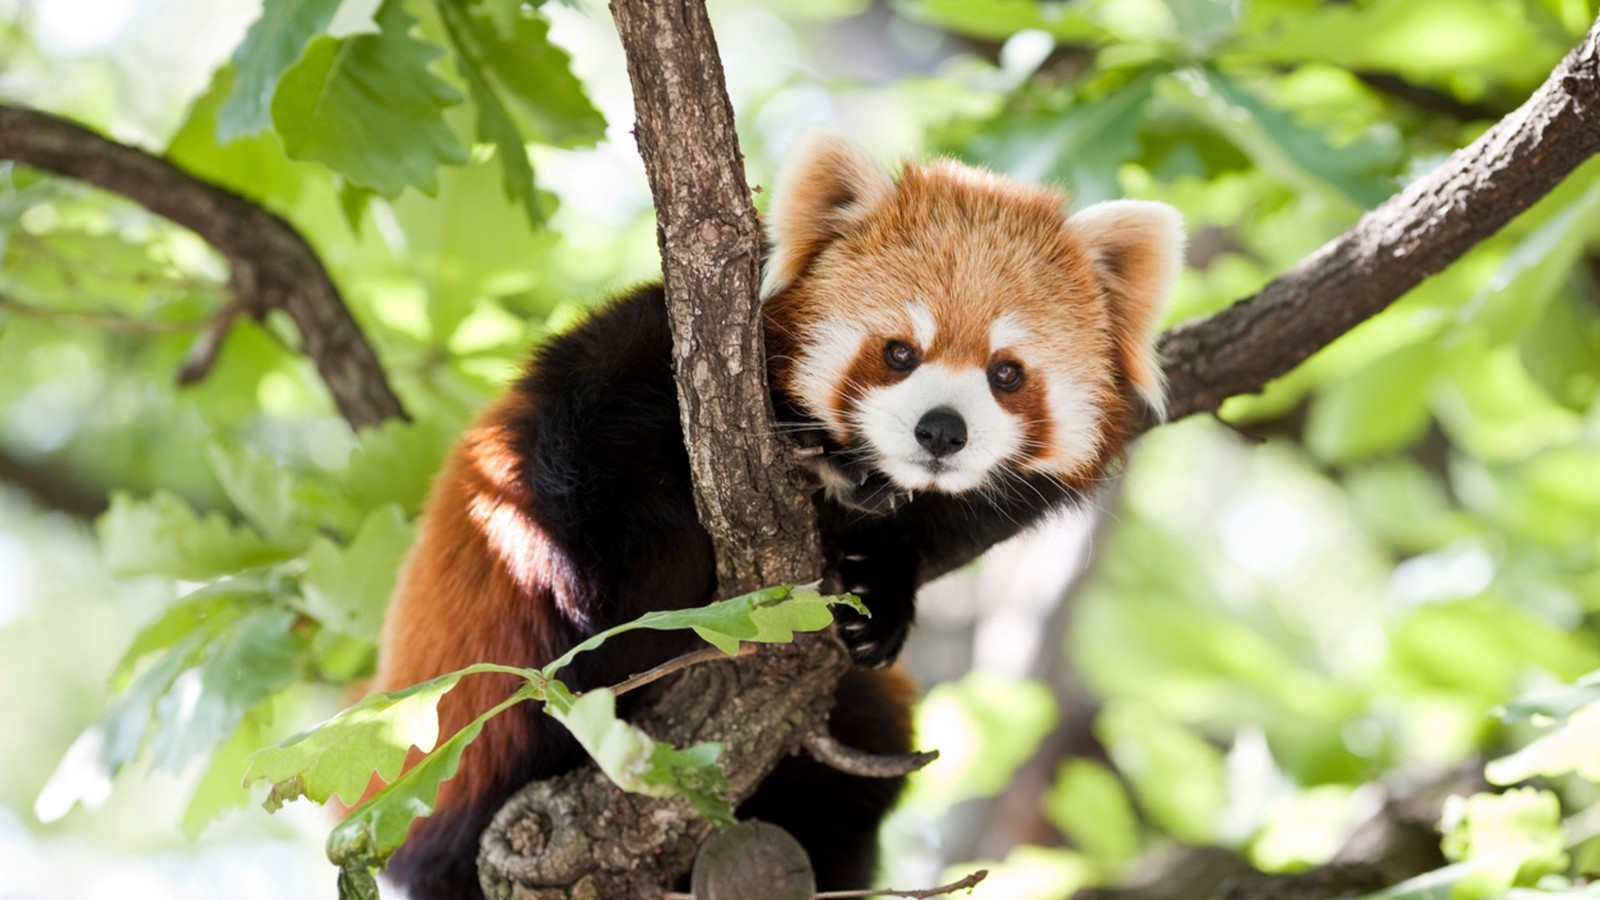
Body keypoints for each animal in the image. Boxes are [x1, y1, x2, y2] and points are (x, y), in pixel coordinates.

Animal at [368, 132, 1184, 896]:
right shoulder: (611, 389)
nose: (942, 431)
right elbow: (595, 507)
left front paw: (881, 591)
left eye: (1006, 373)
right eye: (898, 353)